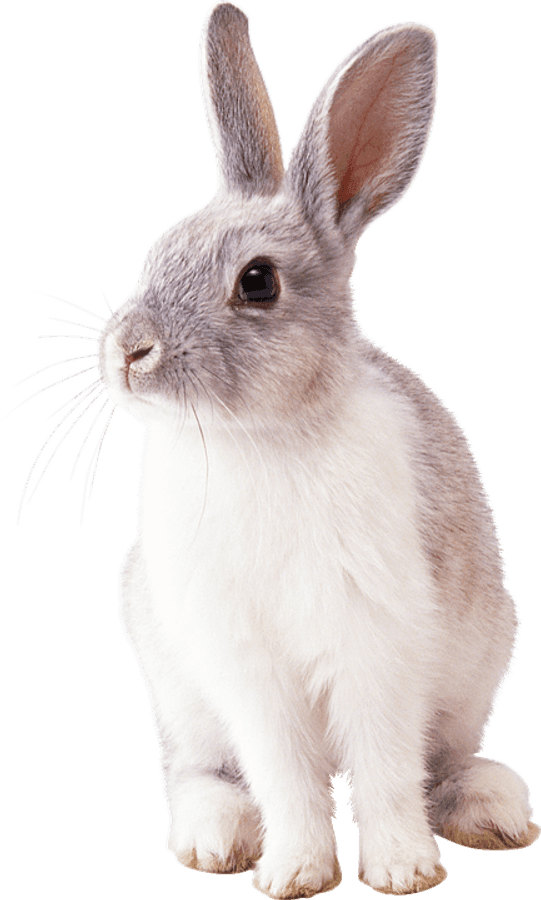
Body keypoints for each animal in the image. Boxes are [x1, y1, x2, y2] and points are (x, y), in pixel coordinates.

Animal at [96, 1, 539, 897]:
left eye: (257, 281)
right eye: (156, 254)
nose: (126, 351)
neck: (258, 437)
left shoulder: (376, 644)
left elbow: (383, 768)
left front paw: (402, 870)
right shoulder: (247, 667)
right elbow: (285, 774)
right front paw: (294, 873)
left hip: (476, 668)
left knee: (441, 762)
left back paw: (494, 811)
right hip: (177, 691)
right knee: (196, 772)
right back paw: (213, 840)